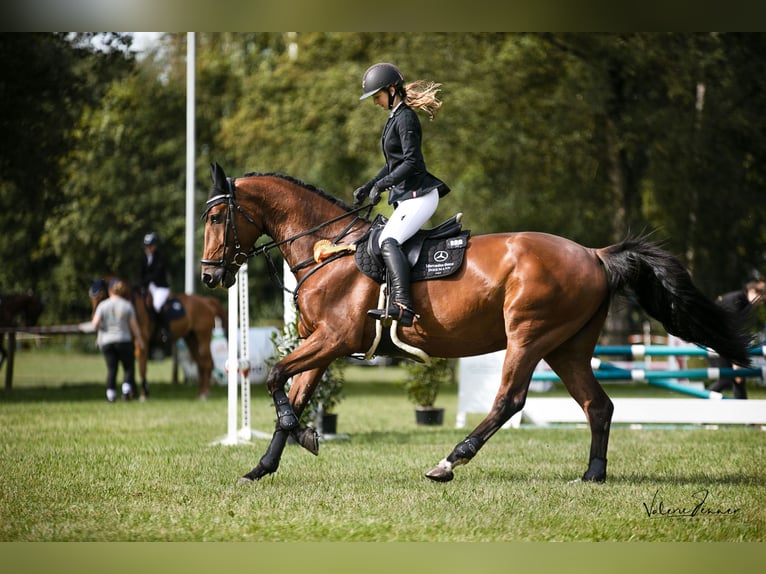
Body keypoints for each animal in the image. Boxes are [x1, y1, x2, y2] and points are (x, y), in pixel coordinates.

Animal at [89, 280, 226, 400]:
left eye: (101, 294)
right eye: (91, 296)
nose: (94, 318)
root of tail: (206, 300)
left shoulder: (142, 343)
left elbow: (142, 368)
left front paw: (143, 394)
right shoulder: (130, 345)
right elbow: (131, 367)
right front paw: (132, 394)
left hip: (203, 337)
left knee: (207, 363)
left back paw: (204, 394)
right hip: (190, 338)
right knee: (201, 363)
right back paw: (200, 393)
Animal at [200, 162, 752, 486]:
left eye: (215, 218)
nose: (209, 276)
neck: (328, 249)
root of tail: (595, 254)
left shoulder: (333, 339)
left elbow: (276, 379)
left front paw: (304, 438)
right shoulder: (321, 343)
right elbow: (290, 399)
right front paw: (264, 465)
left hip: (528, 337)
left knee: (510, 400)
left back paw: (448, 462)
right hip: (567, 347)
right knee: (598, 405)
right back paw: (593, 475)